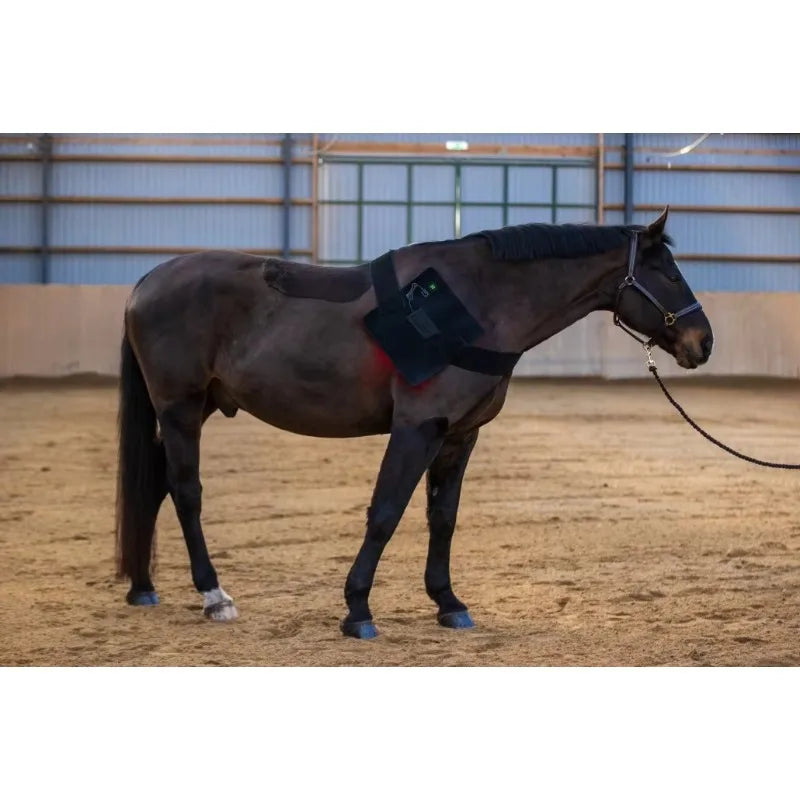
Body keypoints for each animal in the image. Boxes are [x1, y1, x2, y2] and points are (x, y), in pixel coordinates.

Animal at [115, 207, 713, 639]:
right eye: (668, 273)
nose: (702, 342)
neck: (475, 305)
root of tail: (147, 281)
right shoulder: (417, 428)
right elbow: (385, 513)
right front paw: (357, 609)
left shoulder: (459, 434)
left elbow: (441, 518)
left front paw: (448, 602)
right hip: (180, 407)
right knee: (185, 491)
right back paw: (213, 595)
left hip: (196, 406)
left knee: (156, 487)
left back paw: (143, 587)